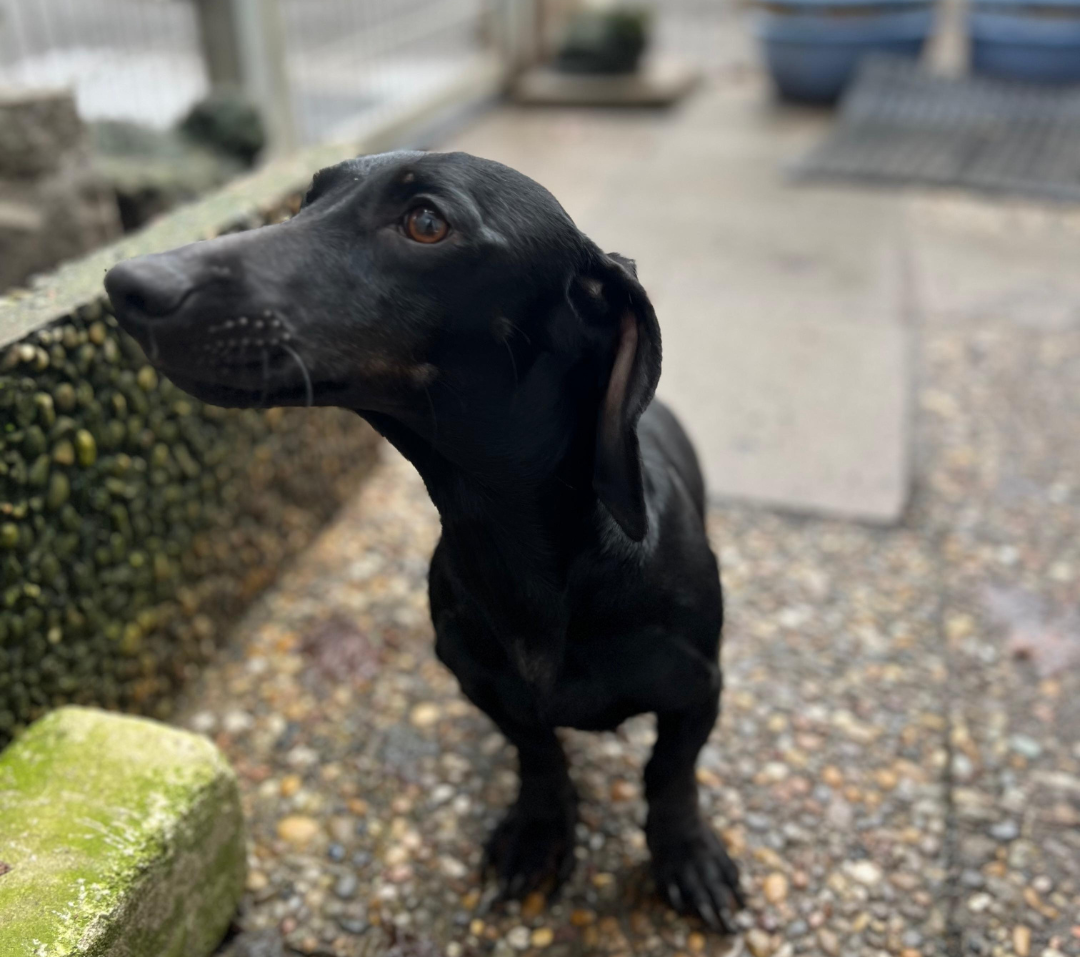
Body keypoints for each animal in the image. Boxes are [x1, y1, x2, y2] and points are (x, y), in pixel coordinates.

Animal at [105, 150, 744, 930]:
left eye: (427, 222)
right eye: (308, 199)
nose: (127, 285)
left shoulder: (698, 691)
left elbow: (670, 773)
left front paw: (685, 853)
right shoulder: (487, 689)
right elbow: (540, 757)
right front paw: (539, 832)